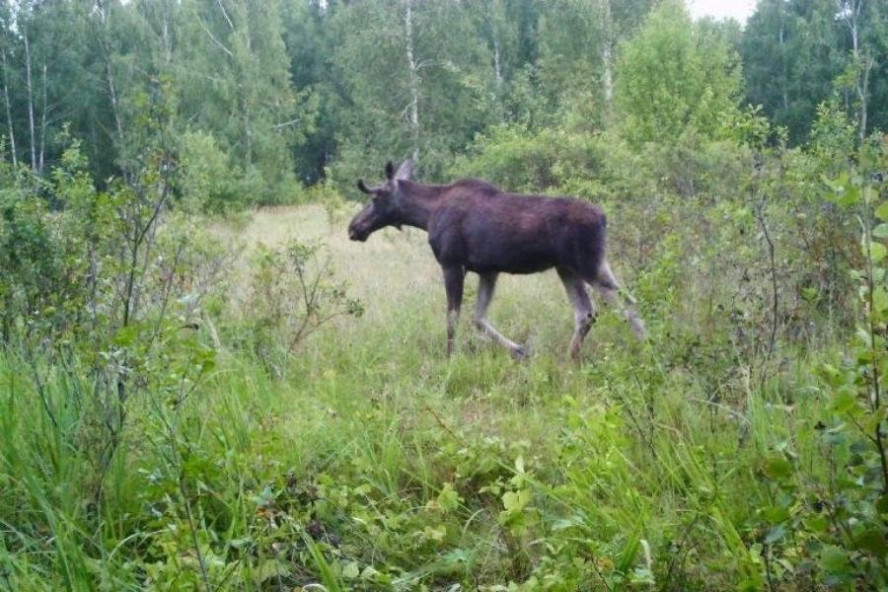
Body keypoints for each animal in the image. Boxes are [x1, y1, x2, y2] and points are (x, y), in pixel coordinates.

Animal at [346, 160, 644, 358]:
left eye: (375, 198)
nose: (354, 227)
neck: (426, 215)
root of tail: (603, 218)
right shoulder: (488, 270)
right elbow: (478, 318)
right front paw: (520, 350)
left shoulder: (451, 263)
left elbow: (453, 318)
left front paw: (449, 358)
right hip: (571, 267)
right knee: (587, 313)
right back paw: (571, 358)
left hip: (587, 265)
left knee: (627, 305)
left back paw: (646, 349)